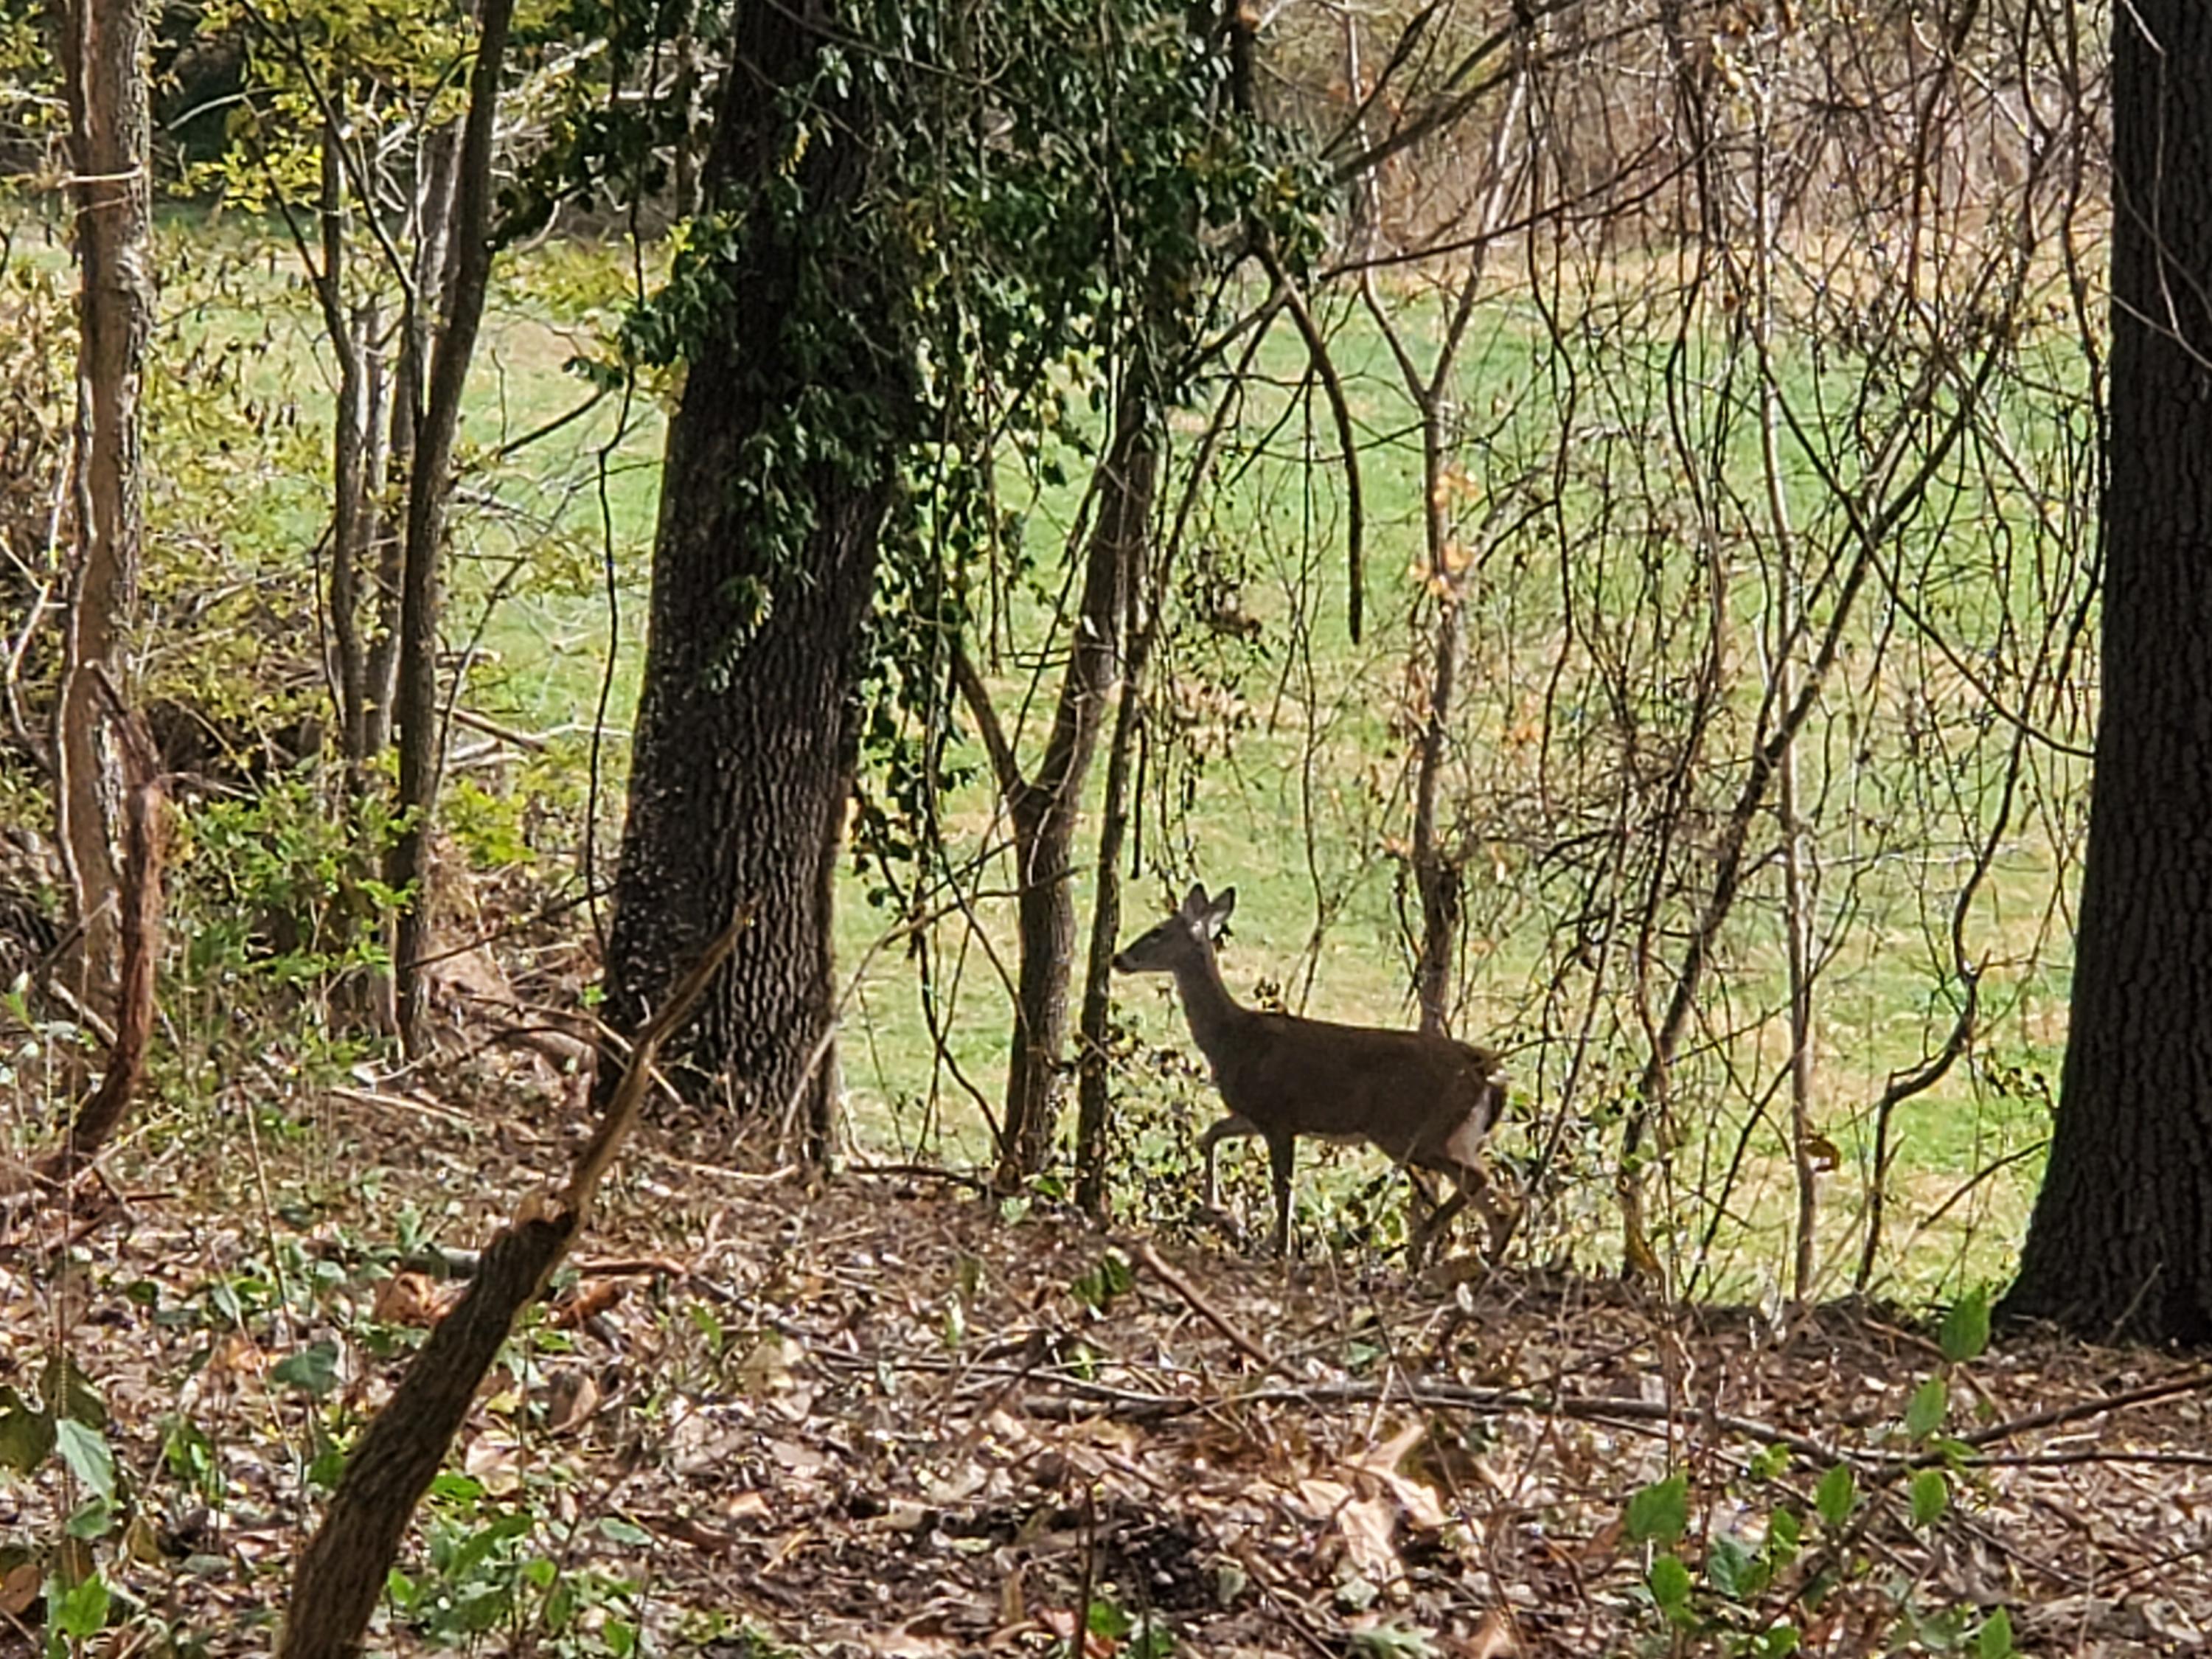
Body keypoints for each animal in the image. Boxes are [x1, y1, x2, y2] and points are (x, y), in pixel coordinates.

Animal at [1115, 889, 1513, 1265]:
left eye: (1157, 932)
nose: (1119, 958)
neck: (1232, 1038)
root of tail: (1486, 1067)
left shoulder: (1278, 1117)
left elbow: (1282, 1190)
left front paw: (1280, 1248)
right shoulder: (1255, 1114)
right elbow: (1210, 1136)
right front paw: (1220, 1211)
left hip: (1412, 1130)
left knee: (1481, 1182)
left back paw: (1425, 1242)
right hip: (1456, 1134)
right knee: (1497, 1203)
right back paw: (1479, 1264)